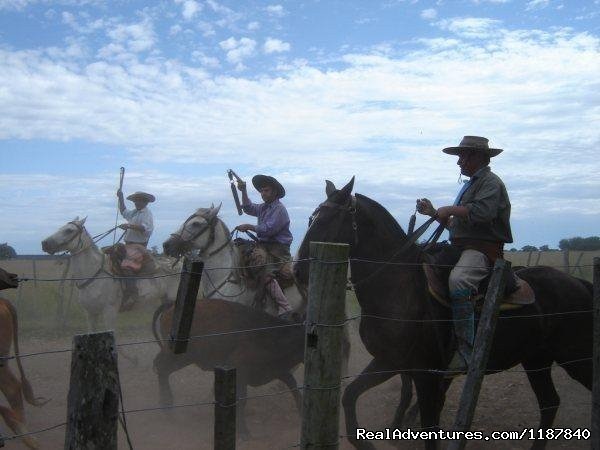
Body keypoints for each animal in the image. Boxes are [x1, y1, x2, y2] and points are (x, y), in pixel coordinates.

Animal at [42, 217, 179, 330]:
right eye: (60, 228)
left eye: (69, 230)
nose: (45, 243)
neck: (94, 274)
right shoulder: (90, 313)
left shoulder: (109, 312)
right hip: (165, 299)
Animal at [152, 298, 304, 438]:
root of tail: (171, 304)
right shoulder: (241, 372)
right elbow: (241, 400)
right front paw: (244, 432)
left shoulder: (279, 371)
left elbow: (294, 388)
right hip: (180, 356)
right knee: (161, 368)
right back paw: (167, 408)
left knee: (161, 368)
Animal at [292, 178, 592, 450]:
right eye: (311, 218)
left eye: (328, 219)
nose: (297, 270)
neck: (398, 290)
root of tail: (577, 283)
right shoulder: (389, 362)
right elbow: (350, 397)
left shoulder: (426, 374)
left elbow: (429, 427)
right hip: (536, 360)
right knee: (549, 403)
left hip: (574, 356)